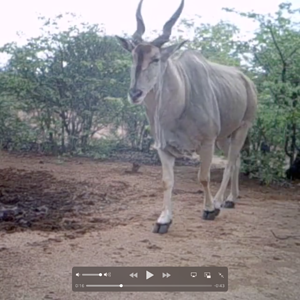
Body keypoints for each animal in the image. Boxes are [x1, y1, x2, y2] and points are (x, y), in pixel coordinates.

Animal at [116, 0, 256, 234]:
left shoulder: (207, 143)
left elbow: (204, 177)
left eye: (156, 59)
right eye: (133, 57)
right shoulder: (163, 148)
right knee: (236, 159)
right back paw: (232, 198)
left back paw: (219, 201)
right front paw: (163, 220)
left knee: (230, 163)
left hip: (242, 128)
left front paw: (209, 209)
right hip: (224, 137)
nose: (135, 93)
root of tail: (247, 81)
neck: (182, 98)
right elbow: (167, 181)